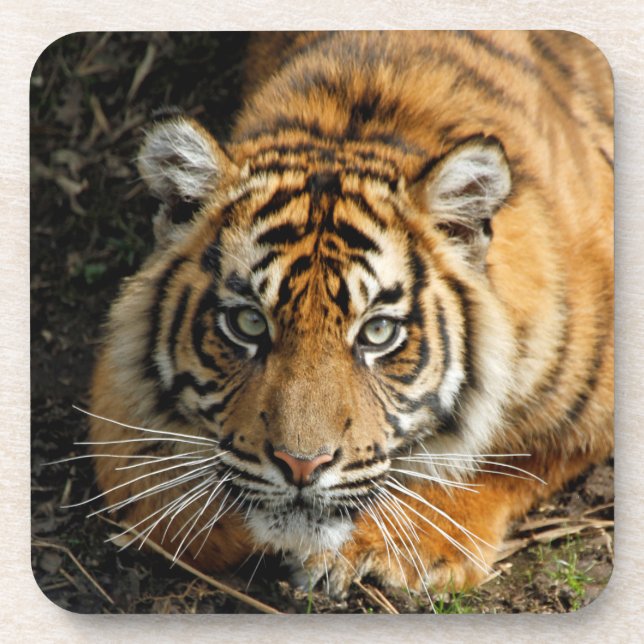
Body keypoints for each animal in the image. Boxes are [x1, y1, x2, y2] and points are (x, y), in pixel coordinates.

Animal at [89, 30, 614, 599]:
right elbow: (173, 507)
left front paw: (388, 548)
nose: (302, 465)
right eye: (249, 323)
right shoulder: (118, 410)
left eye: (378, 332)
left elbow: (502, 461)